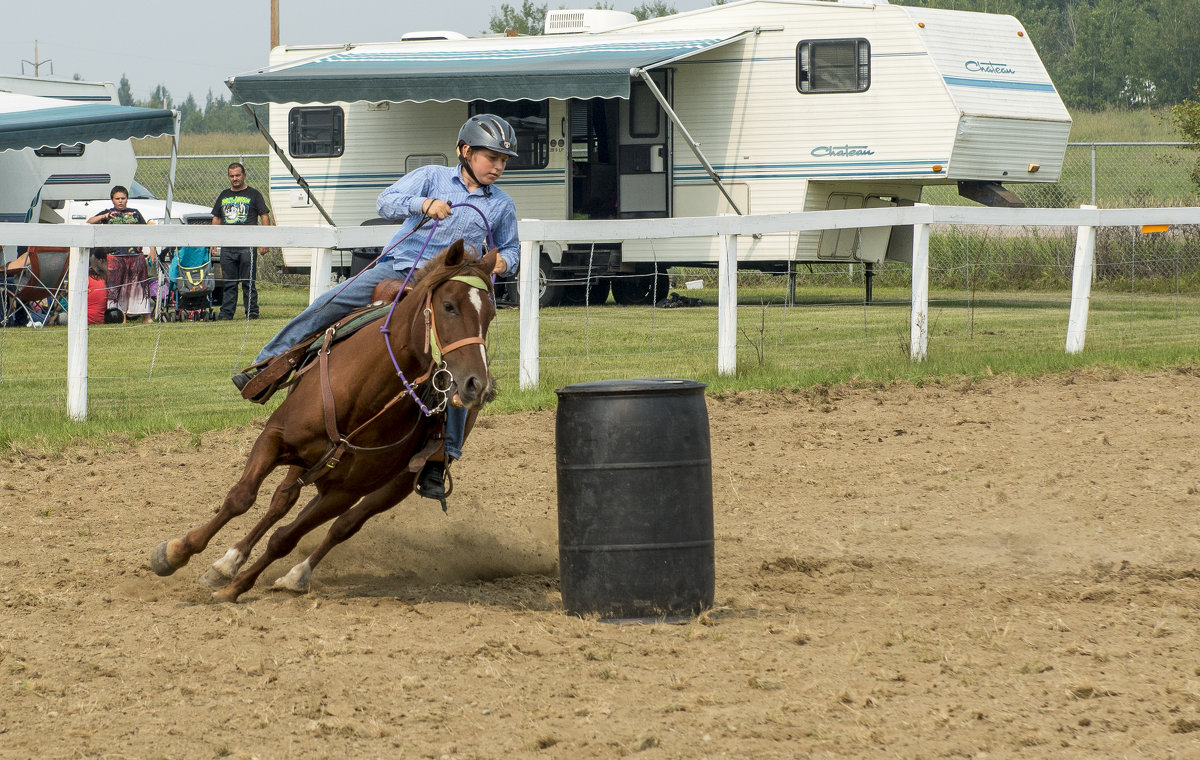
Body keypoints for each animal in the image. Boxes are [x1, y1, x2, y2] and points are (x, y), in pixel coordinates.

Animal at [150, 240, 496, 602]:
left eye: (490, 314)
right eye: (449, 306)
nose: (477, 385)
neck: (363, 394)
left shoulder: (345, 491)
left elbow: (285, 539)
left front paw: (236, 588)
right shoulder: (274, 439)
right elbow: (241, 498)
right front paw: (176, 554)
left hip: (387, 487)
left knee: (342, 526)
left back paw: (295, 575)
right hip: (308, 464)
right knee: (281, 502)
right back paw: (228, 561)